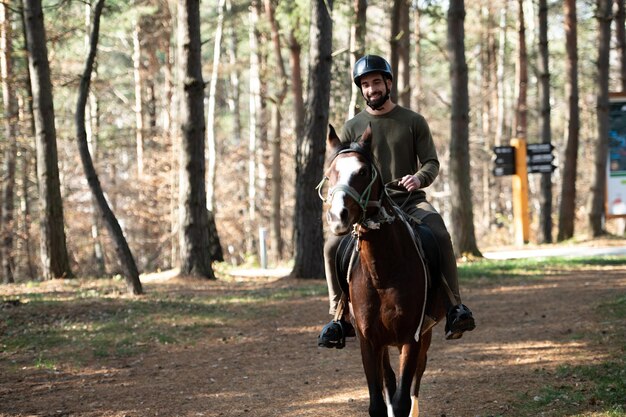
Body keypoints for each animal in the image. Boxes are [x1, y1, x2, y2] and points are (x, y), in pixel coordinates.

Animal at [320, 123, 446, 416]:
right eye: (329, 174)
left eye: (363, 172)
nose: (338, 216)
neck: (382, 273)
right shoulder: (368, 341)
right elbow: (378, 400)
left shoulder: (411, 338)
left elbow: (402, 399)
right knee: (389, 380)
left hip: (424, 336)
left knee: (415, 381)